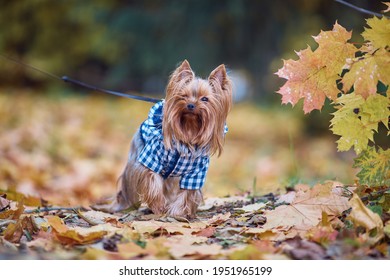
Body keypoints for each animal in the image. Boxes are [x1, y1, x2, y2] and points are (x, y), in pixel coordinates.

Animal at [100, 60, 232, 219]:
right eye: (183, 96)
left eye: (205, 99)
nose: (190, 105)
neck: (188, 134)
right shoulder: (152, 158)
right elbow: (153, 181)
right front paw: (159, 207)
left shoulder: (195, 173)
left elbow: (187, 193)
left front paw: (178, 212)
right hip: (135, 159)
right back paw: (121, 207)